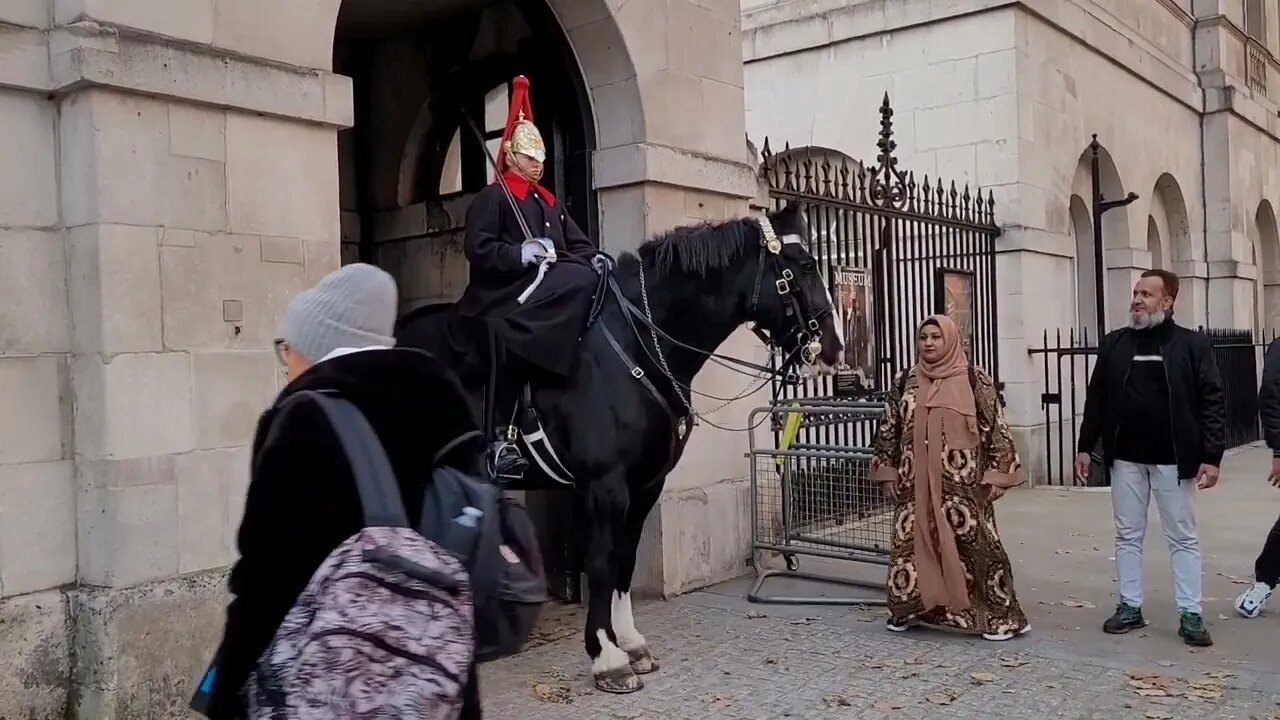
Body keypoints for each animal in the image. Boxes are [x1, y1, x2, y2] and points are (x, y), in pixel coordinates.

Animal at [394, 199, 844, 691]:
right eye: (806, 265)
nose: (834, 348)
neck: (639, 342)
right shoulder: (605, 486)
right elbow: (602, 562)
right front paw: (606, 656)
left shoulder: (646, 484)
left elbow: (625, 560)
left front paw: (630, 642)